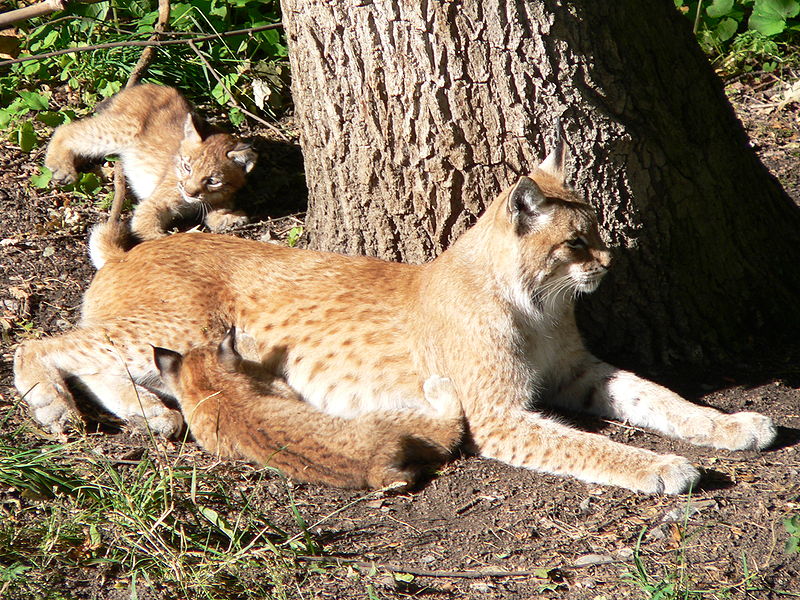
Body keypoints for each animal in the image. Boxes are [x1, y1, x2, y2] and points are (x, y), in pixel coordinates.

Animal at [44, 83, 256, 250]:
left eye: (212, 181)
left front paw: (226, 218)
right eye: (187, 167)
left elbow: (217, 207)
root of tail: (150, 85)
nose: (189, 192)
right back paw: (61, 167)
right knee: (67, 129)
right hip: (122, 130)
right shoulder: (154, 203)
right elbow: (145, 225)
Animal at [152, 328, 462, 488]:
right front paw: (247, 341)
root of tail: (371, 469)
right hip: (392, 417)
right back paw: (440, 387)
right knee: (449, 431)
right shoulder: (281, 387)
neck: (208, 388)